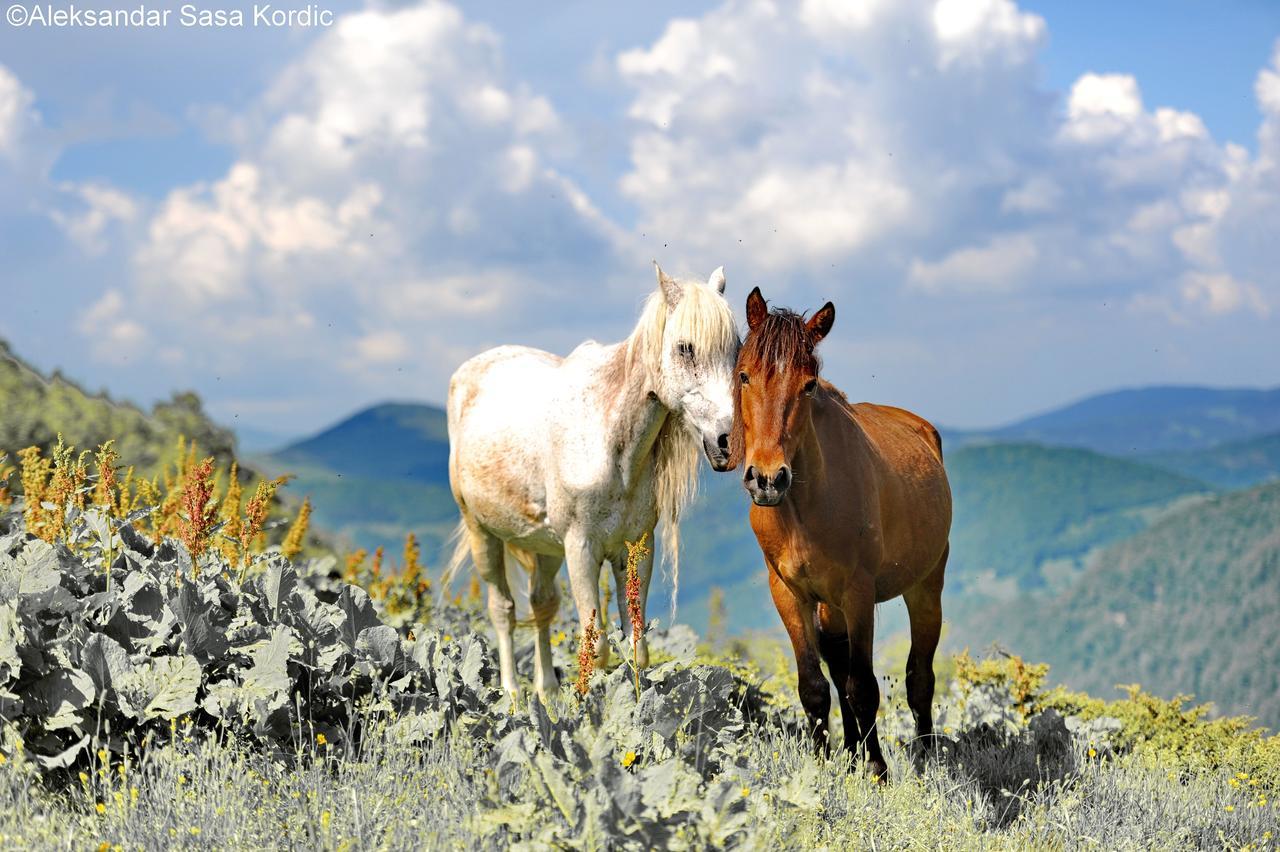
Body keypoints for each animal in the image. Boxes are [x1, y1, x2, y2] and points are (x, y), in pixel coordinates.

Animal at [445, 266, 742, 695]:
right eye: (685, 348)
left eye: (737, 348)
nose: (727, 441)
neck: (609, 441)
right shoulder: (581, 549)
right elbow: (597, 648)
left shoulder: (636, 548)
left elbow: (637, 648)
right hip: (481, 532)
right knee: (503, 609)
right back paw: (514, 693)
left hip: (545, 548)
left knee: (540, 605)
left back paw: (546, 692)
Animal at [732, 286, 952, 777]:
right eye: (744, 375)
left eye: (809, 385)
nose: (768, 479)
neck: (805, 507)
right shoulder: (789, 593)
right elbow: (815, 686)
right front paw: (823, 765)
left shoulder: (858, 594)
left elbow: (863, 687)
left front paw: (878, 772)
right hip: (828, 605)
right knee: (837, 668)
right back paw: (851, 751)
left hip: (924, 587)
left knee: (919, 677)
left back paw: (924, 757)